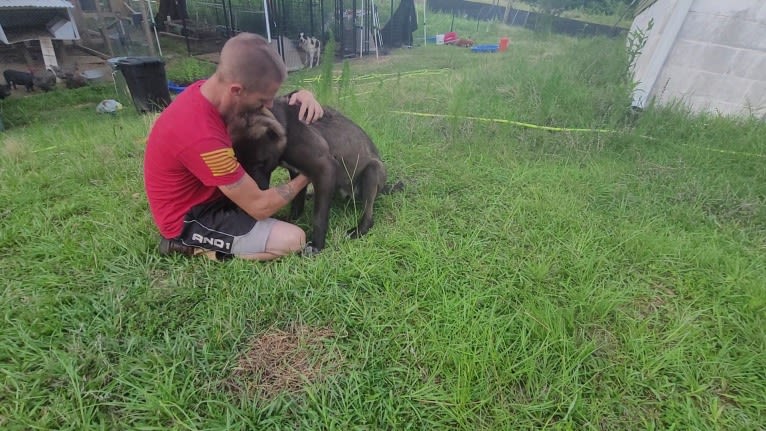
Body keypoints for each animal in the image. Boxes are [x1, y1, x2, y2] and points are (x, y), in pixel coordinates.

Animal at [232, 97, 396, 253]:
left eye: (260, 164)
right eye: (241, 166)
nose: (247, 204)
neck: (285, 124)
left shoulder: (325, 168)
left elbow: (319, 216)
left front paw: (316, 246)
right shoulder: (296, 172)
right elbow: (297, 202)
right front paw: (292, 219)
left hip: (372, 170)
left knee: (368, 215)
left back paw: (356, 231)